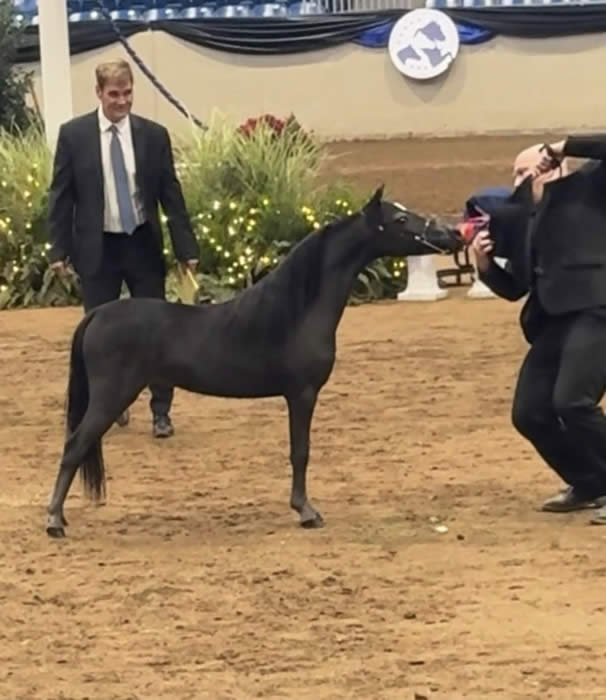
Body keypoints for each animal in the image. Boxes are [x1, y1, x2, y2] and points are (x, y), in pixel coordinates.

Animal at [45, 185, 463, 538]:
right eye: (400, 220)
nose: (453, 235)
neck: (296, 310)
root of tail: (97, 314)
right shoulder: (302, 394)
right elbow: (300, 452)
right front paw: (306, 511)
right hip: (110, 397)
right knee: (74, 446)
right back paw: (54, 521)